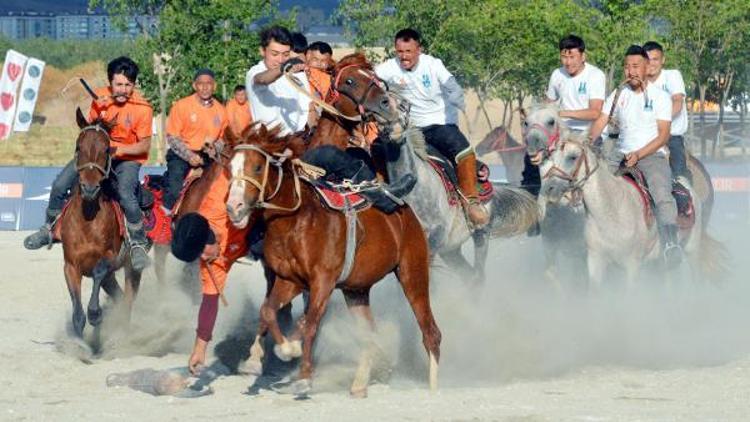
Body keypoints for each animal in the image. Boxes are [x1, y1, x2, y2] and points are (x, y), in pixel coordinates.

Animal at [61, 109, 144, 340]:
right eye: (78, 146)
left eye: (106, 149)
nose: (90, 189)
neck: (88, 221)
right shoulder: (70, 266)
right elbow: (77, 314)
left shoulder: (109, 258)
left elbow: (99, 271)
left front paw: (96, 314)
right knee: (120, 297)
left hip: (132, 268)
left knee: (127, 299)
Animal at [226, 123, 444, 398]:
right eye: (229, 167)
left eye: (257, 167)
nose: (234, 207)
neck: (296, 221)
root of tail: (407, 213)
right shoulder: (289, 280)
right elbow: (268, 310)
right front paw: (268, 355)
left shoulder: (323, 281)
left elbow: (310, 324)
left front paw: (303, 376)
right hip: (356, 291)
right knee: (368, 334)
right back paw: (360, 384)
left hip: (412, 273)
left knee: (430, 332)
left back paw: (433, 387)